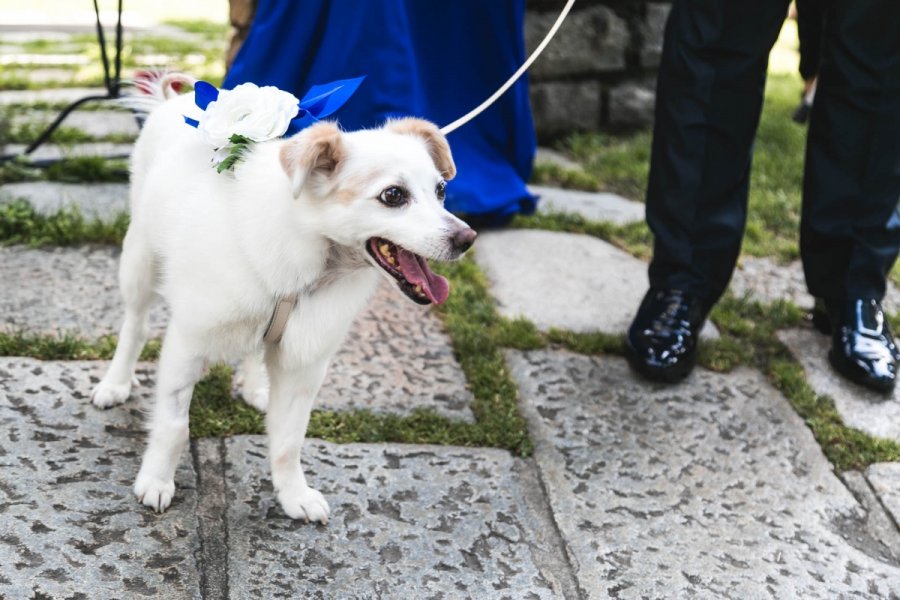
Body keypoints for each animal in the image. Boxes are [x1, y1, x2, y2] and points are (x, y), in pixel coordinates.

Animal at [93, 75, 478, 524]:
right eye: (393, 195)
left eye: (441, 191)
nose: (467, 239)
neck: (308, 261)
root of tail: (174, 101)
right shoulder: (186, 344)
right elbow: (174, 427)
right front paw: (156, 480)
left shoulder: (303, 365)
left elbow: (288, 442)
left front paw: (293, 495)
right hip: (138, 262)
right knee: (134, 327)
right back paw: (115, 383)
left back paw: (255, 385)